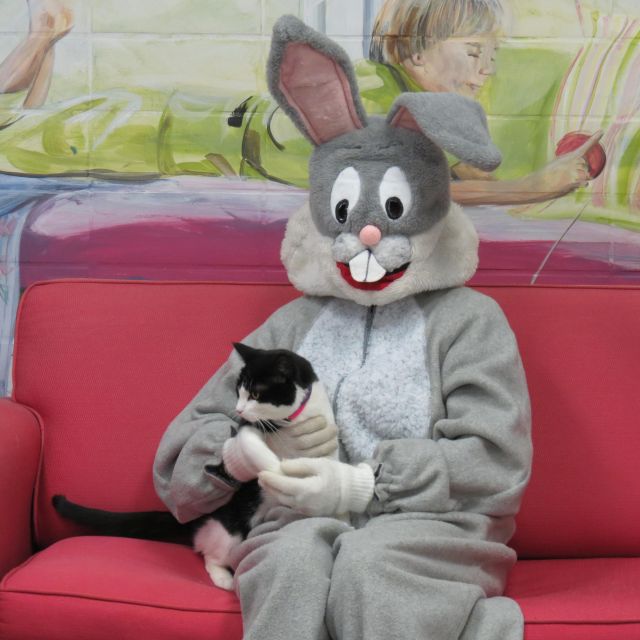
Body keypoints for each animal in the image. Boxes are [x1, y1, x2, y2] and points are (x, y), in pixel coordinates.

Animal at [52, 344, 338, 592]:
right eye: (238, 392)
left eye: (256, 394)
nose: (238, 410)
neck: (294, 419)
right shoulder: (247, 431)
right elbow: (253, 447)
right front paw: (276, 469)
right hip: (230, 530)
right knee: (210, 554)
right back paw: (224, 577)